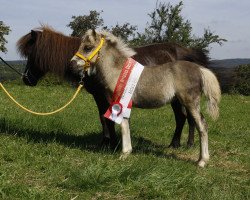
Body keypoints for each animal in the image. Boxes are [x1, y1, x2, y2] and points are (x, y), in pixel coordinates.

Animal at [17, 25, 209, 148]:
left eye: (31, 54)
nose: (26, 79)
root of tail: (186, 52)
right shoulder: (99, 96)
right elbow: (103, 117)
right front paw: (107, 142)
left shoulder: (103, 95)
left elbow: (107, 118)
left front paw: (111, 143)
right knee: (189, 118)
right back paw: (189, 144)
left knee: (182, 117)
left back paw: (176, 144)